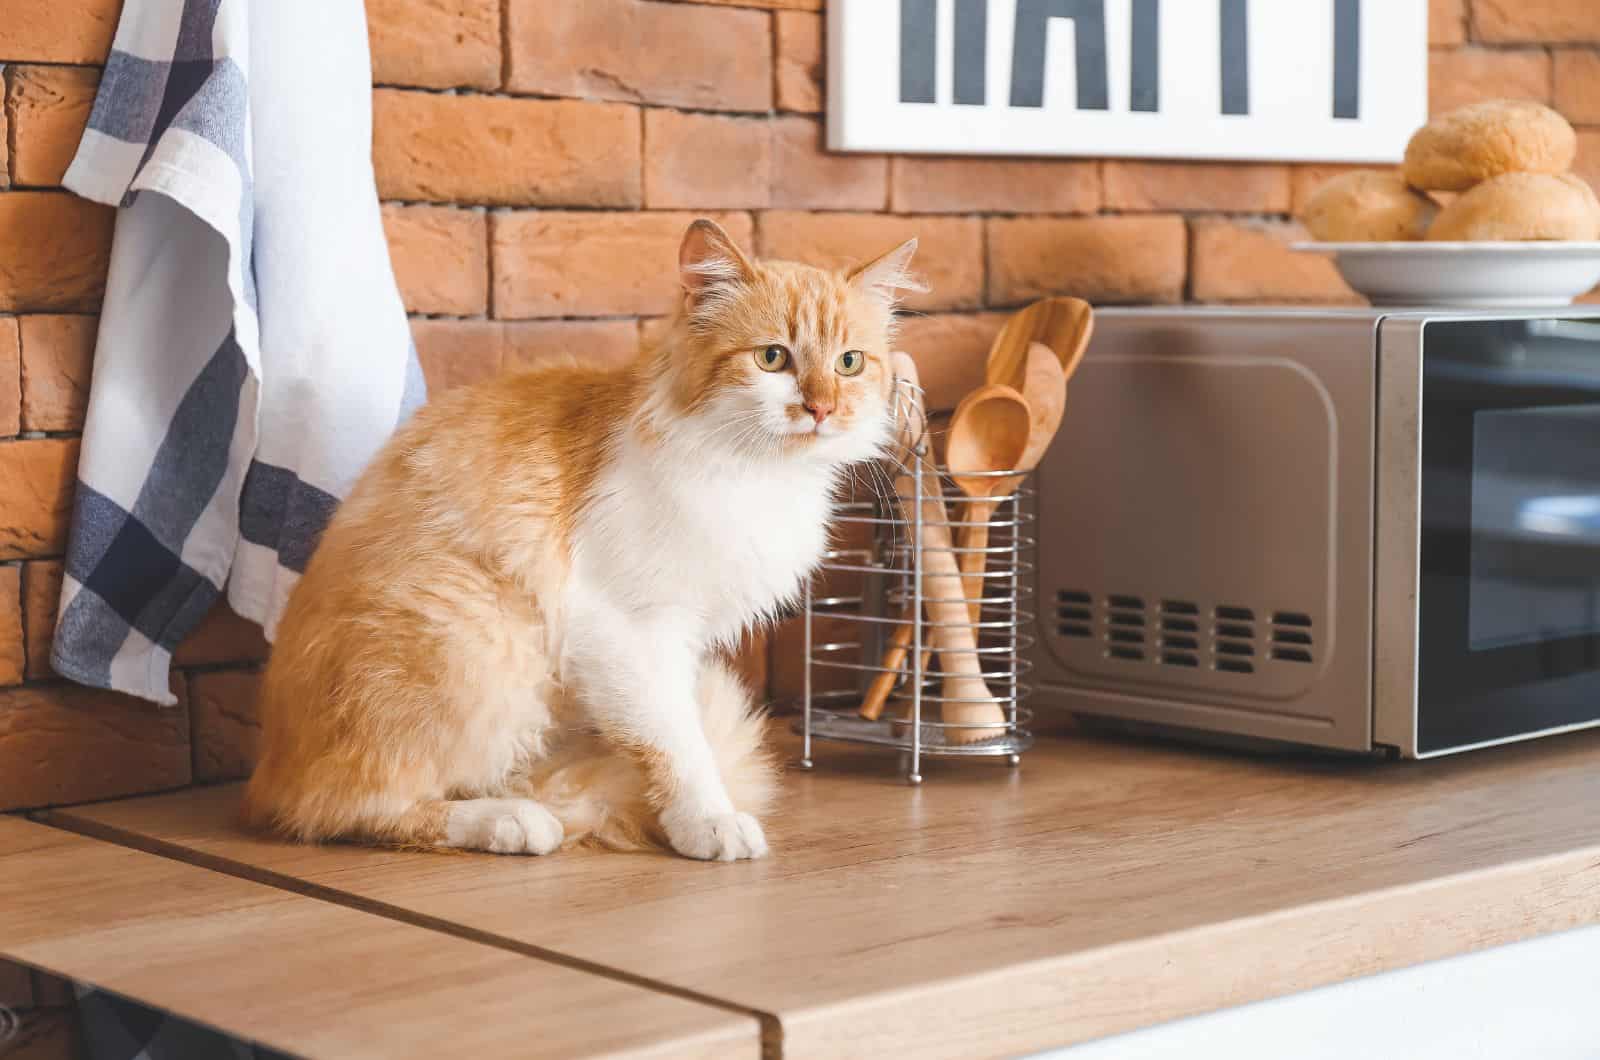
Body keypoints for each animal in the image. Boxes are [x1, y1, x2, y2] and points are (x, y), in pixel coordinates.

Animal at [241, 219, 921, 858]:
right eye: (773, 358)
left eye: (849, 363)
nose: (822, 409)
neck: (756, 473)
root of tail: (266, 770)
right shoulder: (630, 630)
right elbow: (679, 744)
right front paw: (707, 821)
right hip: (483, 631)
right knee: (348, 806)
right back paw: (512, 820)